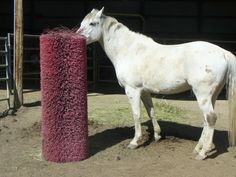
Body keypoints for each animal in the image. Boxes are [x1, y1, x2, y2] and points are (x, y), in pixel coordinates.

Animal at [78, 7, 236, 160]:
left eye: (92, 23)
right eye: (82, 23)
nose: (77, 36)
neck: (128, 50)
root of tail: (223, 53)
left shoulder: (132, 90)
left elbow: (136, 114)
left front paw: (135, 142)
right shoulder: (144, 91)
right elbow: (151, 111)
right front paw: (157, 135)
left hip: (202, 94)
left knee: (211, 118)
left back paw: (203, 153)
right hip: (212, 95)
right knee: (206, 120)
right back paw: (198, 148)